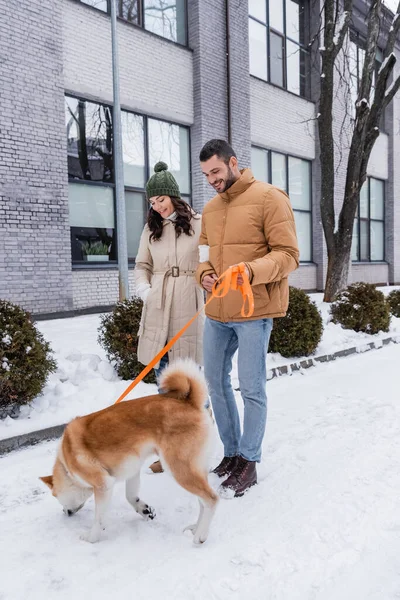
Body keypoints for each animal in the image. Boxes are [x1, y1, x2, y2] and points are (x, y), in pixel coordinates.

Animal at [39, 358, 219, 548]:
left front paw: (91, 537)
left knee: (211, 499)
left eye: (55, 495)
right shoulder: (132, 469)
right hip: (195, 468)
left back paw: (200, 536)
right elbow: (130, 496)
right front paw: (144, 510)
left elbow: (99, 518)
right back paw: (196, 528)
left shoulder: (103, 485)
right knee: (202, 501)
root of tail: (190, 402)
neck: (67, 465)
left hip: (178, 468)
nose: (65, 512)